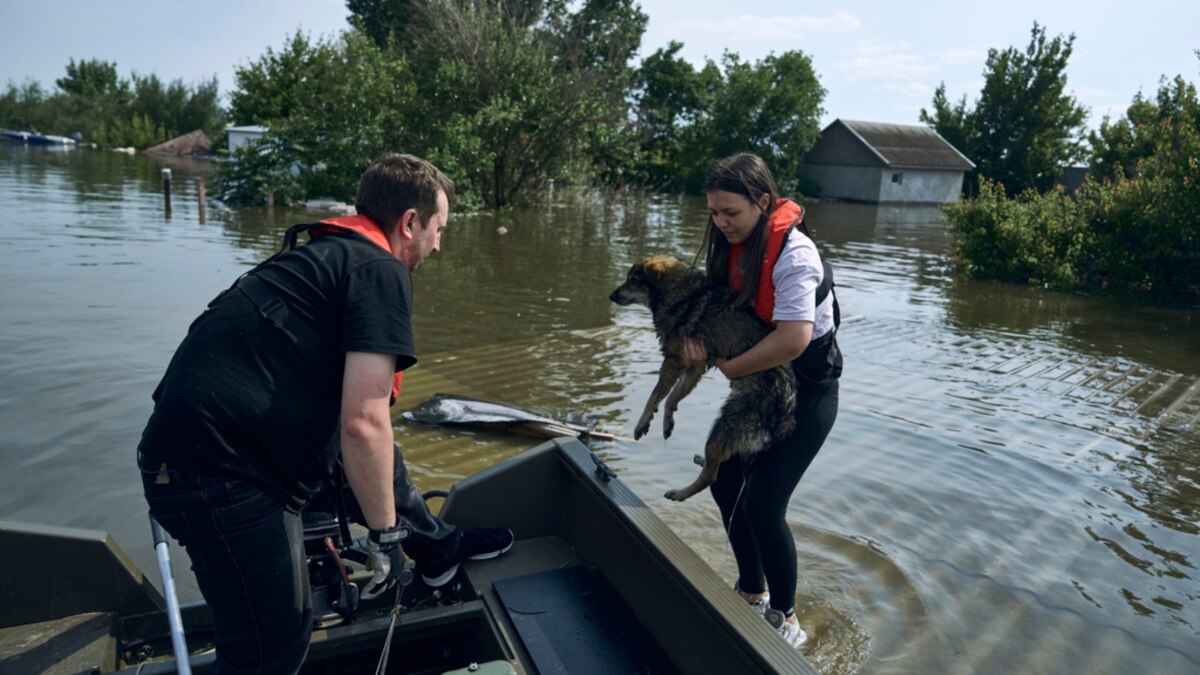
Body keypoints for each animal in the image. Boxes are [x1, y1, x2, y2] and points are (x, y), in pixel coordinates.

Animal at [609, 254, 796, 497]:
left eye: (633, 280)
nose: (611, 295)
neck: (680, 294)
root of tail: (784, 416)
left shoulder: (673, 362)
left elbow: (654, 396)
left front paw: (642, 424)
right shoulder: (694, 366)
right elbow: (673, 396)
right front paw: (667, 421)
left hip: (723, 426)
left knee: (710, 476)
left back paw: (679, 493)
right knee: (713, 465)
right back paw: (699, 462)